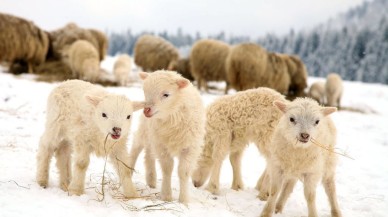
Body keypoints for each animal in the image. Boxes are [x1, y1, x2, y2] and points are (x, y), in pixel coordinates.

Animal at [128, 70, 208, 204]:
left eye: (166, 94)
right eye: (145, 91)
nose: (146, 110)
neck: (171, 117)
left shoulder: (190, 148)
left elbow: (183, 172)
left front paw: (184, 200)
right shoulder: (162, 146)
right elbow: (167, 168)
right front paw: (166, 196)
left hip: (152, 135)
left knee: (149, 154)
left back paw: (151, 180)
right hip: (145, 131)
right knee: (136, 147)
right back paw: (128, 170)